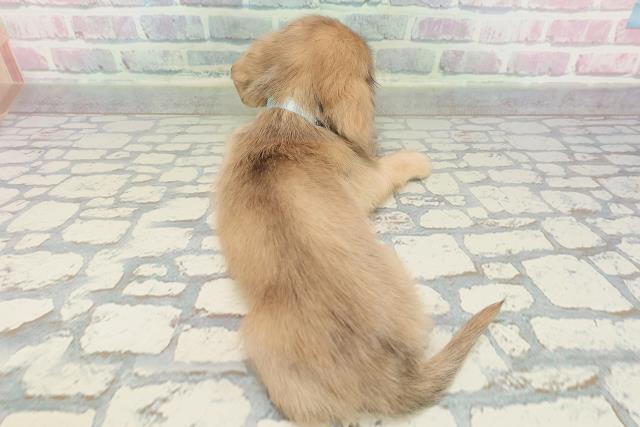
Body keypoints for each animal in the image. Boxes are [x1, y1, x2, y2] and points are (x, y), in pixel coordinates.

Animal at [216, 15, 502, 424]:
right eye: (372, 77)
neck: (290, 114)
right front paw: (417, 159)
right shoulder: (369, 180)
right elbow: (394, 164)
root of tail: (391, 375)